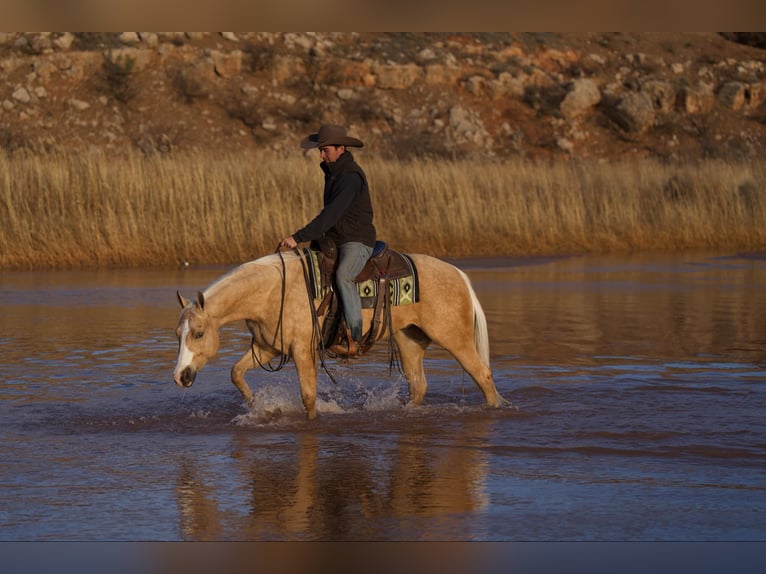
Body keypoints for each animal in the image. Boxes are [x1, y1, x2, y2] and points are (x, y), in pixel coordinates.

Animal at [173, 249, 505, 419]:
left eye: (199, 333)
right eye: (178, 333)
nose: (180, 376)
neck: (271, 290)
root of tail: (459, 275)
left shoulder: (302, 351)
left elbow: (308, 397)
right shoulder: (268, 348)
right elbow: (236, 372)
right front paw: (257, 404)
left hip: (455, 339)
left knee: (483, 375)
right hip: (409, 340)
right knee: (419, 387)